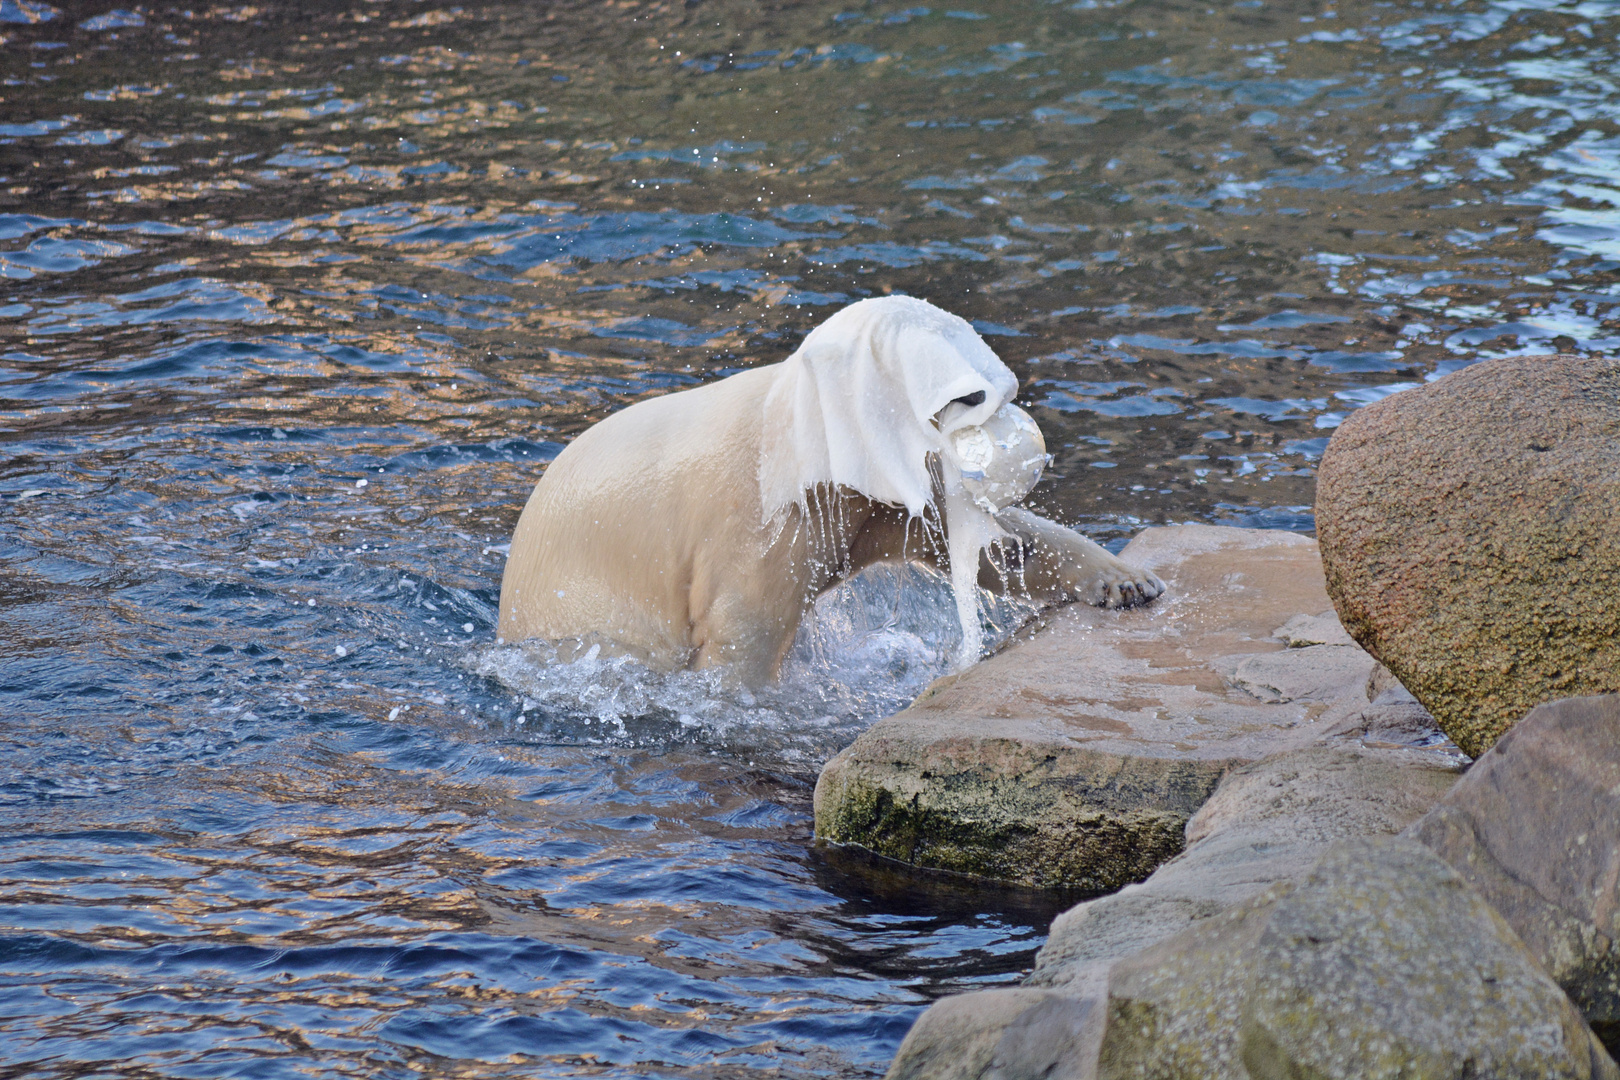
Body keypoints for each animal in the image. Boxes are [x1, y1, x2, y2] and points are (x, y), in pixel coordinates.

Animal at [495, 296, 1166, 683]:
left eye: (997, 382)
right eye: (966, 395)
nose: (1012, 426)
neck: (805, 432)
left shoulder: (867, 498)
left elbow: (984, 546)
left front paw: (1127, 580)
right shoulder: (760, 520)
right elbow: (742, 633)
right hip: (587, 612)